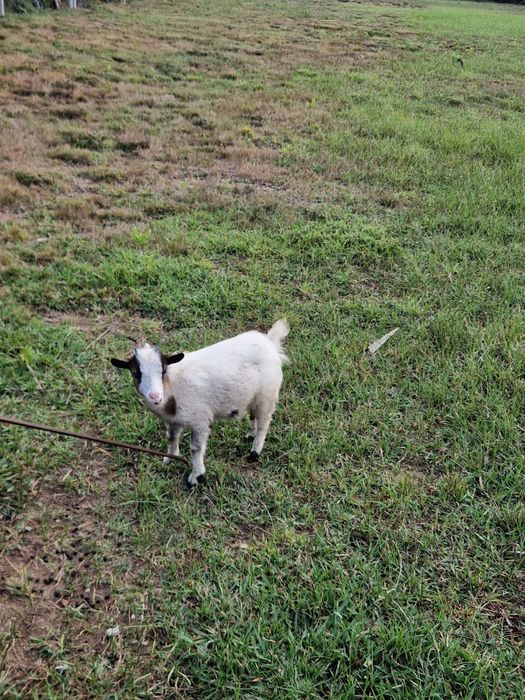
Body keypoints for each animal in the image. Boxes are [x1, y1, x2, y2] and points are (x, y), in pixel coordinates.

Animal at [111, 319, 289, 486]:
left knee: (264, 423)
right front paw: (170, 459)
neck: (172, 386)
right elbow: (171, 437)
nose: (155, 396)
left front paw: (196, 476)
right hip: (253, 397)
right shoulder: (173, 420)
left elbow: (196, 448)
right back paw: (250, 435)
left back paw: (254, 452)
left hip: (267, 395)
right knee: (254, 416)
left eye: (163, 370)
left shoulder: (199, 421)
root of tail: (270, 342)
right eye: (136, 373)